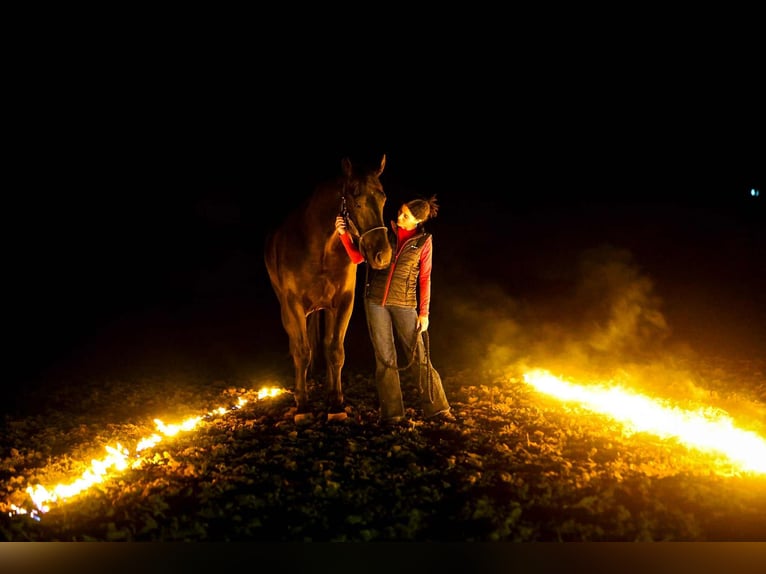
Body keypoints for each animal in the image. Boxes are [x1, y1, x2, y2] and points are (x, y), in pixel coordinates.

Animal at [264, 155, 393, 423]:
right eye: (356, 199)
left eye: (383, 197)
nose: (382, 255)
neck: (319, 247)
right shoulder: (294, 306)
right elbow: (302, 352)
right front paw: (303, 406)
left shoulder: (344, 303)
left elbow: (334, 350)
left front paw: (335, 403)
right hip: (287, 311)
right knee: (297, 347)